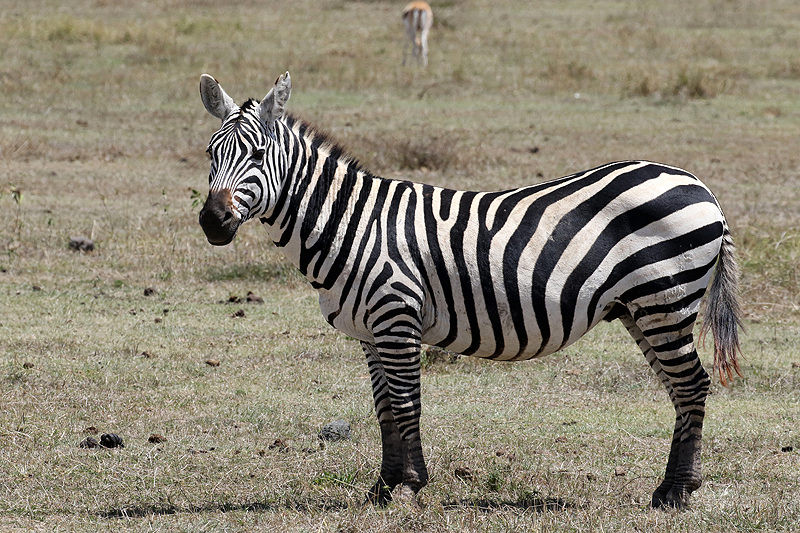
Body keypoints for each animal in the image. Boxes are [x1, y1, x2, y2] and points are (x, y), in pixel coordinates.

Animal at [198, 71, 744, 508]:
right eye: (210, 153)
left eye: (258, 154)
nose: (212, 221)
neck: (353, 224)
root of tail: (698, 184)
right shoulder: (370, 332)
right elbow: (383, 410)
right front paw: (382, 488)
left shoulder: (396, 315)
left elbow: (405, 403)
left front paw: (410, 484)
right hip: (642, 308)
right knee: (681, 389)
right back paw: (672, 488)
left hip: (665, 301)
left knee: (692, 384)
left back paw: (676, 493)